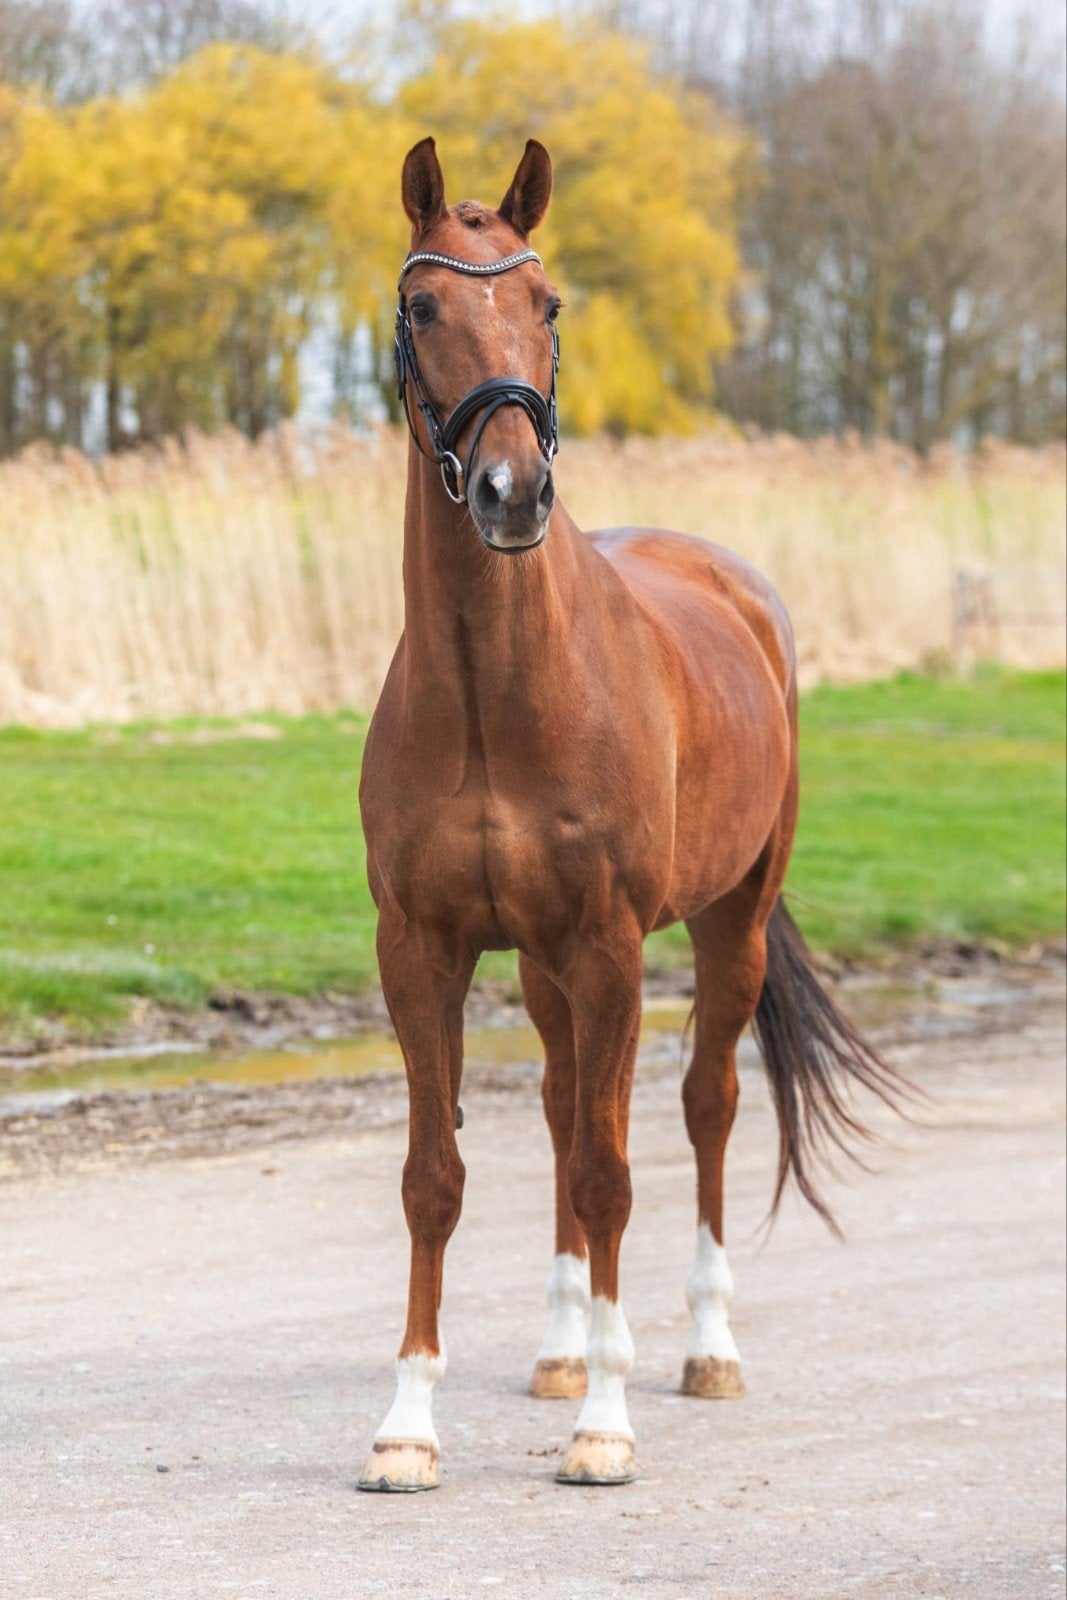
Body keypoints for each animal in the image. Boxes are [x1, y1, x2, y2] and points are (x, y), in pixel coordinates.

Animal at [357, 137, 905, 1492]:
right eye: (423, 306)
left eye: (547, 303)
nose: (512, 492)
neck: (495, 692)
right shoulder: (424, 950)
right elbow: (436, 1176)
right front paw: (407, 1424)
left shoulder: (609, 944)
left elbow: (612, 1173)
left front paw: (603, 1426)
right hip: (546, 967)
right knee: (566, 1106)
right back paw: (562, 1347)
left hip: (724, 925)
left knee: (700, 1106)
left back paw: (701, 1349)